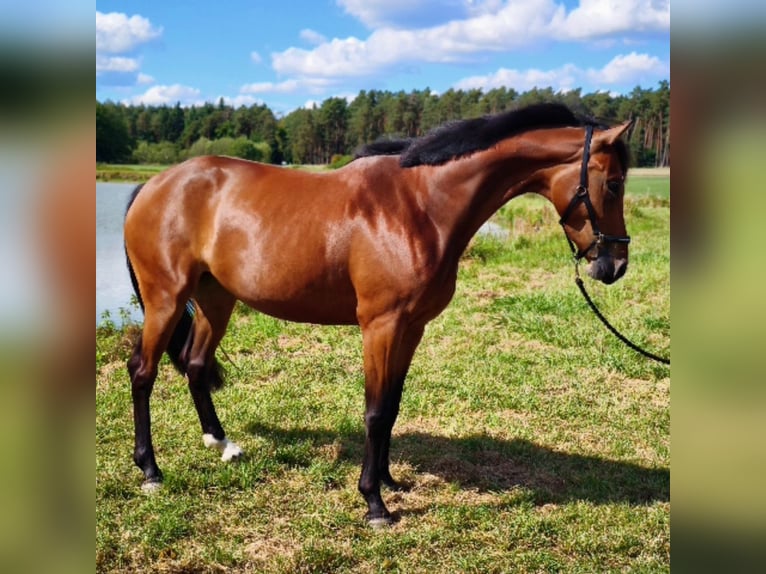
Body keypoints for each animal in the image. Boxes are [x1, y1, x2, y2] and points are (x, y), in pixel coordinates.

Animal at [123, 103, 632, 526]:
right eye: (613, 183)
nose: (615, 266)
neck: (420, 206)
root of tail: (154, 185)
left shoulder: (411, 328)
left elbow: (392, 405)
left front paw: (389, 481)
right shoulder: (380, 327)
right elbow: (373, 410)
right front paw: (374, 503)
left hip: (216, 299)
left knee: (194, 364)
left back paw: (222, 444)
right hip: (167, 299)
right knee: (143, 371)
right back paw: (150, 470)